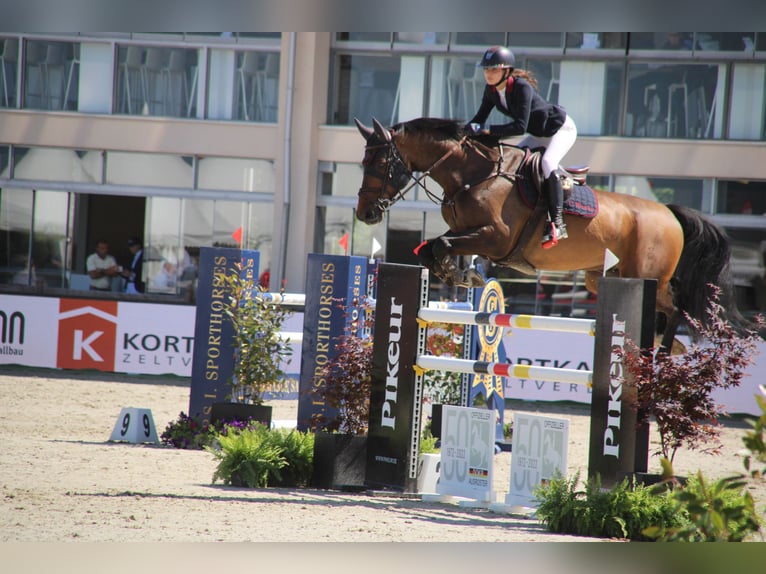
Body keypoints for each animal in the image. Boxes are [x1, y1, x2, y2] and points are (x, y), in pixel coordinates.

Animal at [356, 116, 752, 352]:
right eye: (363, 162)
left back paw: (664, 349)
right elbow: (432, 248)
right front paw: (458, 273)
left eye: (380, 162)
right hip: (606, 277)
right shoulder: (467, 229)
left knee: (676, 306)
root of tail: (669, 212)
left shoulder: (496, 237)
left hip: (647, 275)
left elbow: (441, 244)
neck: (473, 174)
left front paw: (461, 273)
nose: (365, 214)